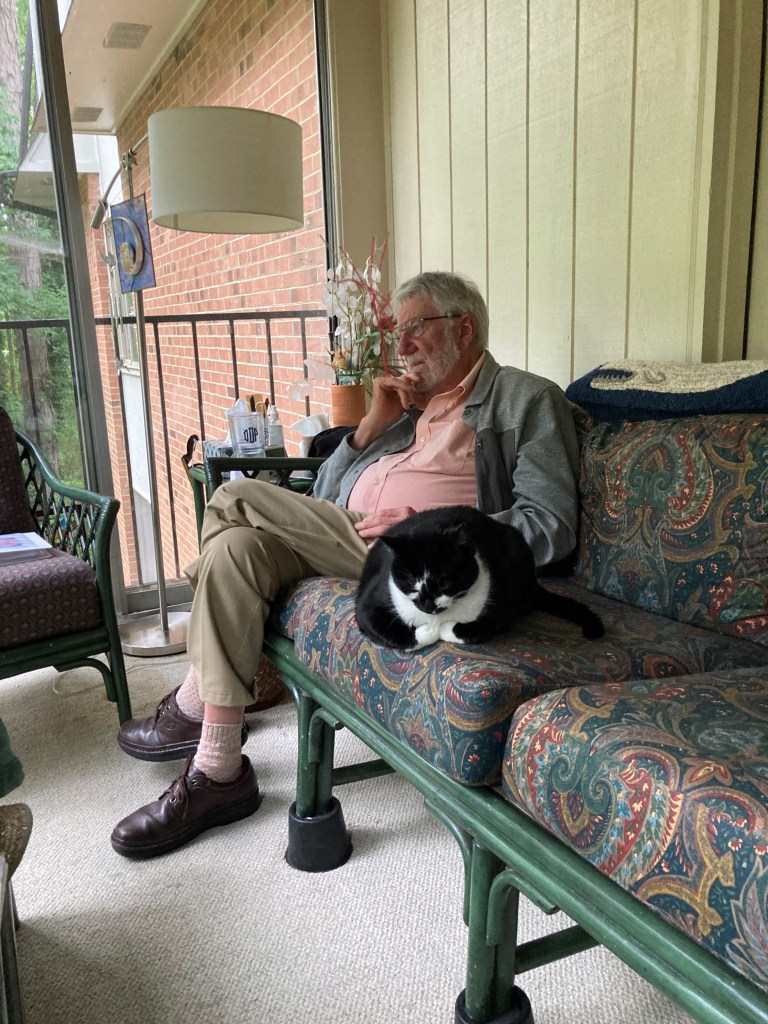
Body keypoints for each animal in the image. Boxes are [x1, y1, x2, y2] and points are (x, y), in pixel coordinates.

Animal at [354, 505, 604, 651]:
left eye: (444, 583)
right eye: (411, 585)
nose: (427, 606)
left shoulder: (500, 607)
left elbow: (469, 629)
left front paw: (443, 630)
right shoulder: (369, 606)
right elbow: (396, 634)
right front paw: (428, 631)